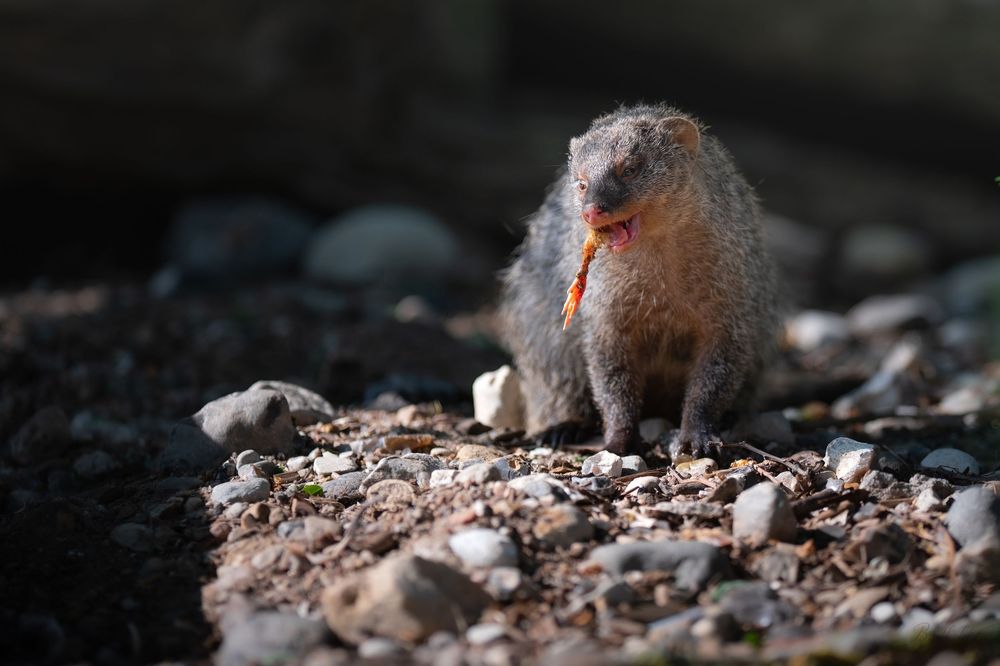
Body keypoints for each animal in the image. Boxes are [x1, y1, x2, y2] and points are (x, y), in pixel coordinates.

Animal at [499, 103, 779, 459]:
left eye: (630, 169)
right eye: (581, 183)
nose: (592, 211)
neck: (661, 278)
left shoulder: (734, 302)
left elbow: (715, 378)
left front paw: (697, 437)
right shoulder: (604, 312)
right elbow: (610, 379)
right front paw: (618, 443)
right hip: (538, 320)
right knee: (551, 377)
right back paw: (560, 428)